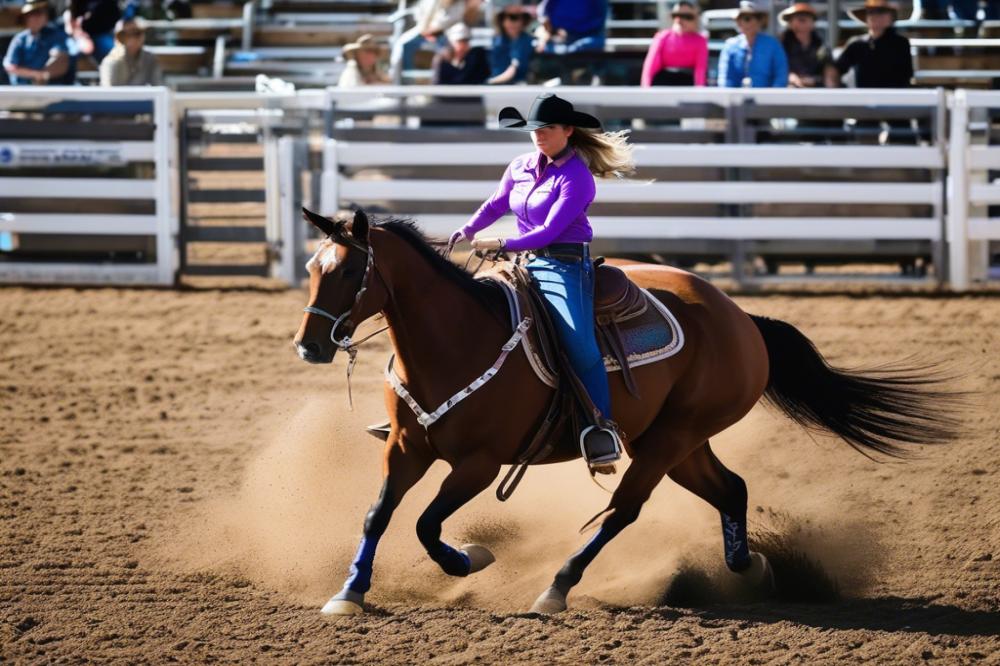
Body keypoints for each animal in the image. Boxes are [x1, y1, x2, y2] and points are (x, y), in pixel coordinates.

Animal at [292, 206, 956, 612]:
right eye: (310, 268)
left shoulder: (478, 464)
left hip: (668, 443)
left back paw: (556, 589)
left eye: (348, 271)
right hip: (678, 440)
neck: (456, 341)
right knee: (731, 488)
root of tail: (742, 318)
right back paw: (752, 570)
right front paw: (349, 593)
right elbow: (378, 515)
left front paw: (470, 559)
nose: (309, 345)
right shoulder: (406, 447)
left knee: (622, 512)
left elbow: (428, 526)